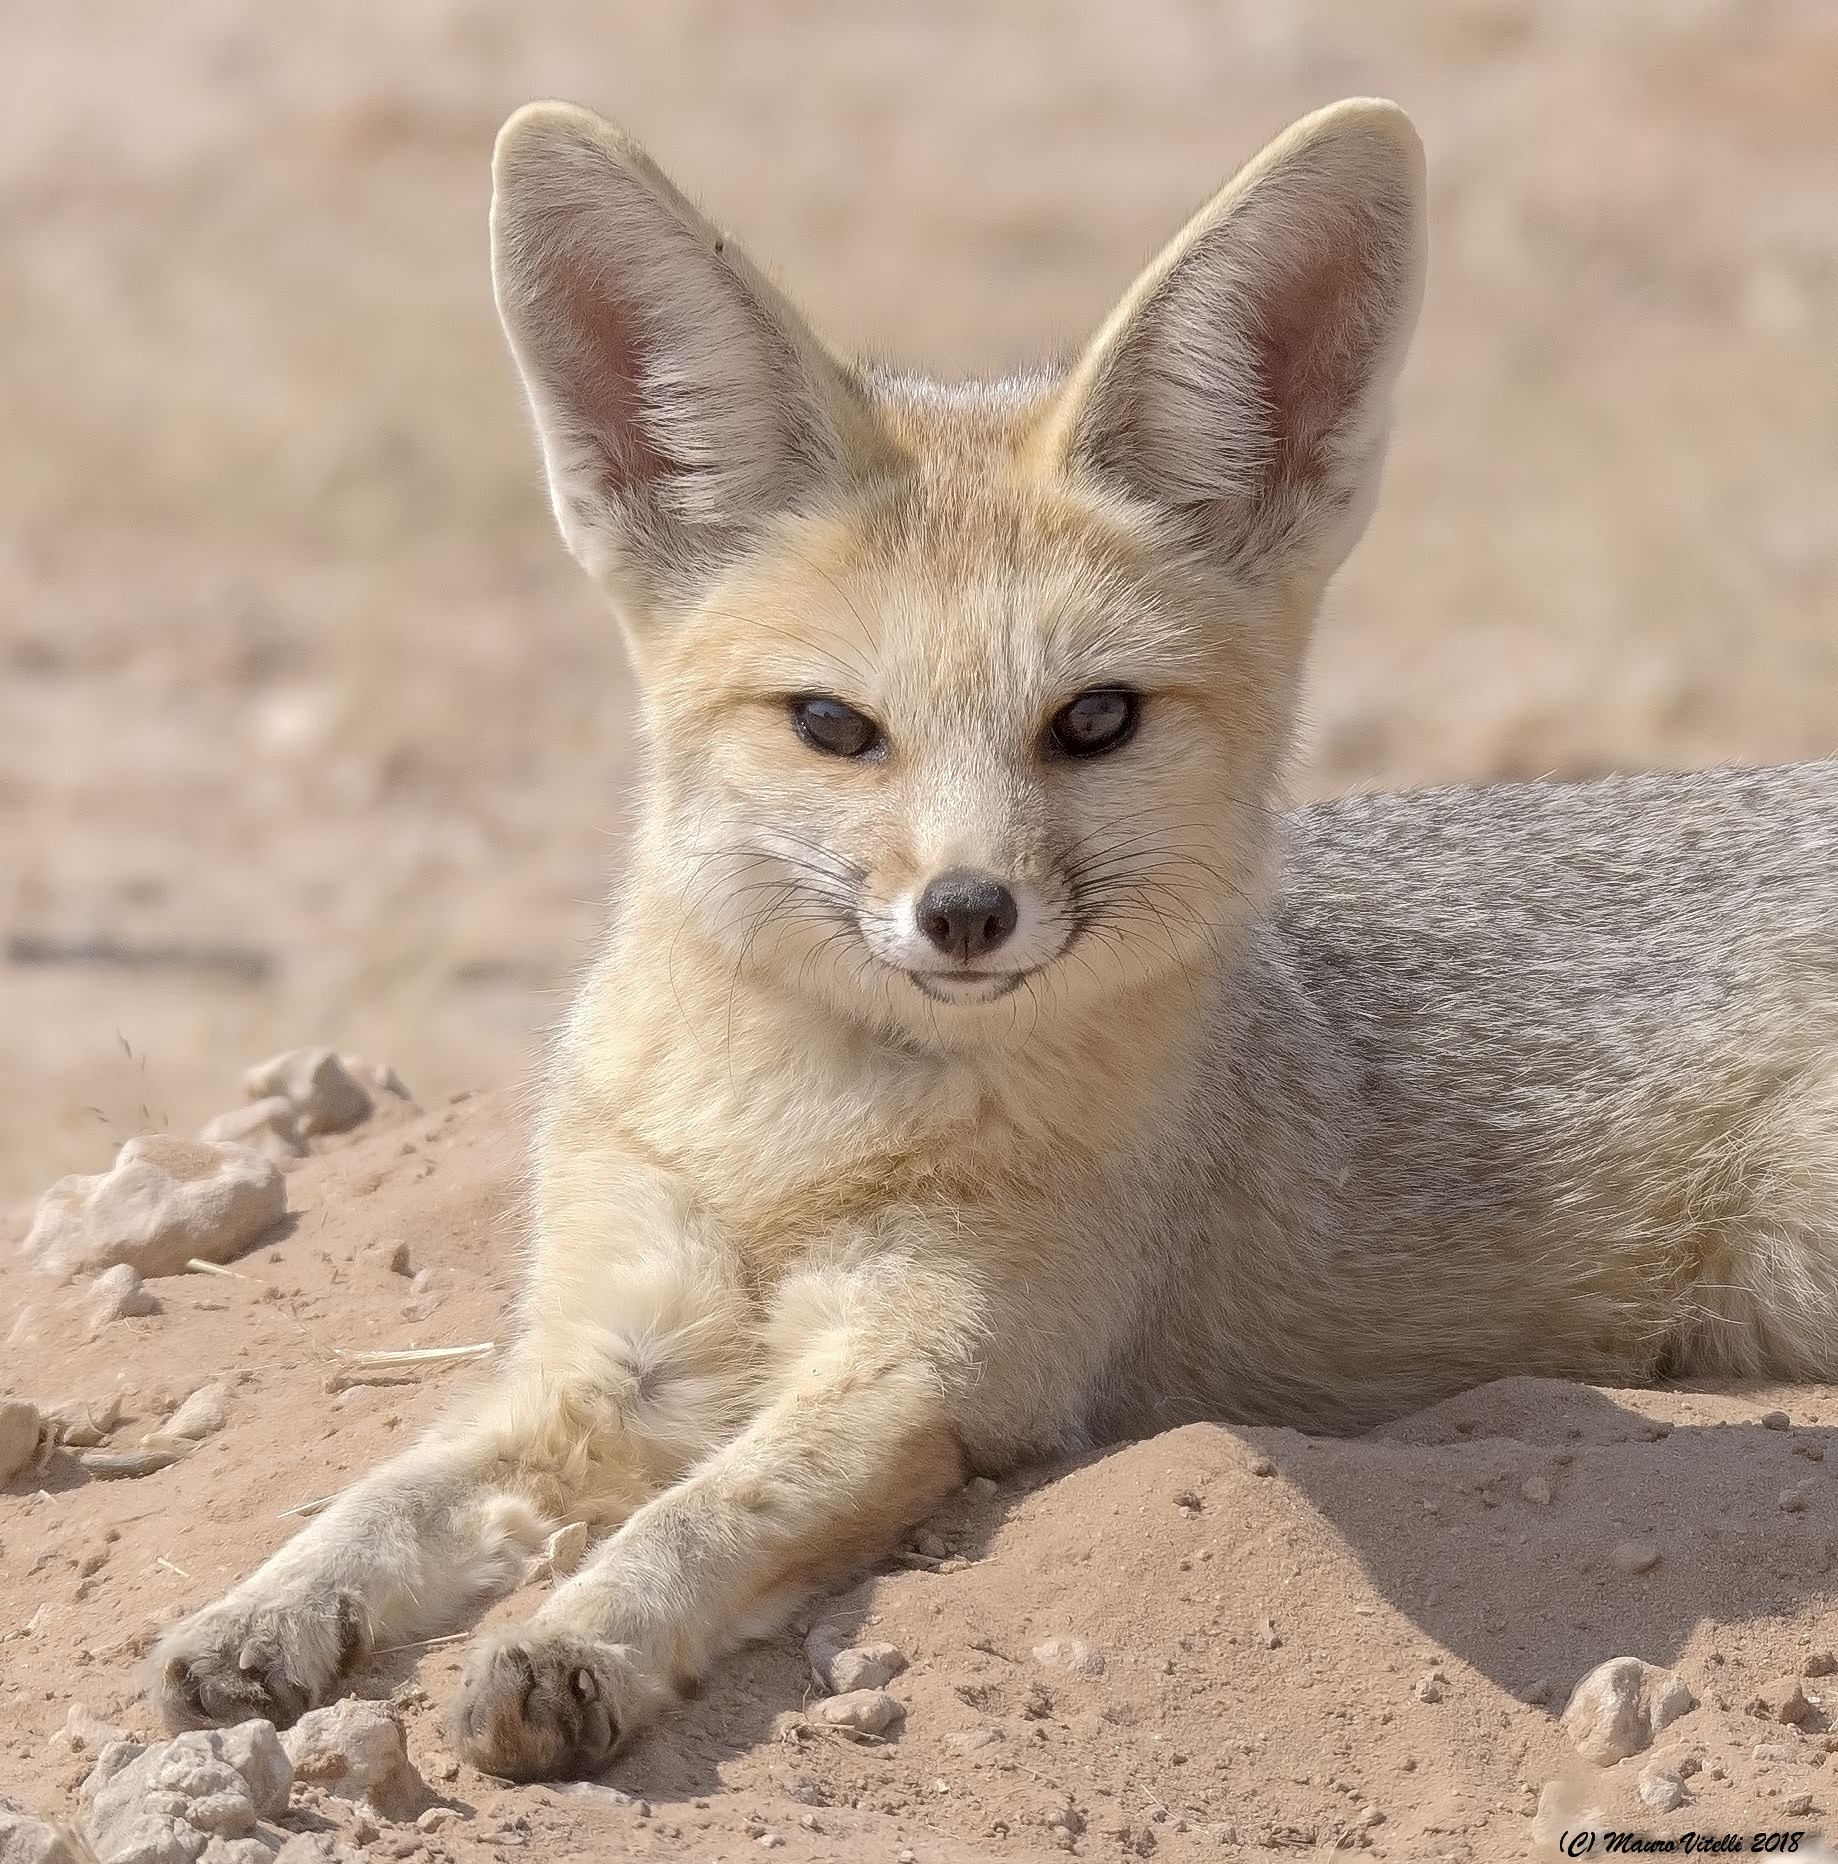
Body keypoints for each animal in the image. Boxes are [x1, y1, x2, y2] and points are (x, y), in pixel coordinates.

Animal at [151, 95, 1838, 1782]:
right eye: (833, 726)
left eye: (1091, 720)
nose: (964, 910)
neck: (791, 1140)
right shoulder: (607, 1347)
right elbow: (392, 1486)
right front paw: (263, 1610)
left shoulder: (939, 1368)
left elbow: (714, 1511)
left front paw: (575, 1644)